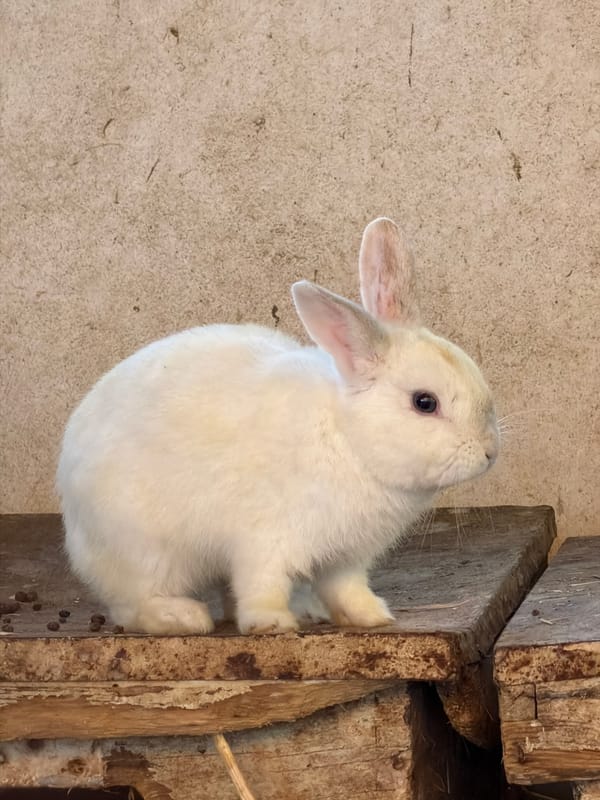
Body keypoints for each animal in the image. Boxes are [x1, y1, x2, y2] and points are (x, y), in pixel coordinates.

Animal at [57, 218, 499, 635]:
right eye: (425, 402)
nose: (490, 452)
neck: (347, 438)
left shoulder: (345, 558)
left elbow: (346, 589)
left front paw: (372, 617)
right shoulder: (265, 539)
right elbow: (262, 585)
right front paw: (270, 623)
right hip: (146, 552)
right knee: (134, 606)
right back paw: (185, 617)